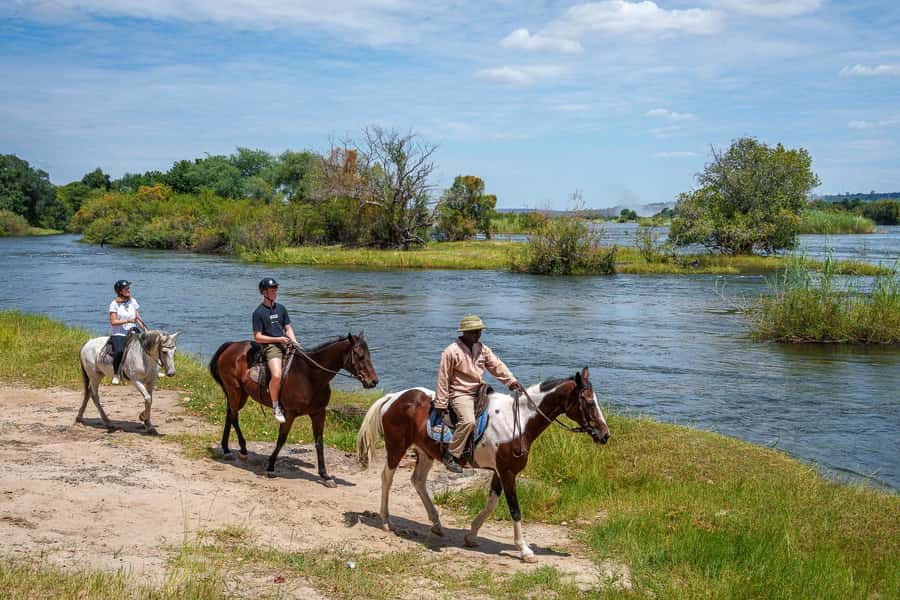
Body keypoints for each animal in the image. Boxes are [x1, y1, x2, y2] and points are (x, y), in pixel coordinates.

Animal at [209, 332, 378, 485]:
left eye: (368, 354)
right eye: (358, 354)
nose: (373, 381)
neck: (310, 376)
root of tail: (231, 346)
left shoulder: (318, 413)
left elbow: (319, 443)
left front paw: (325, 475)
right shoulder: (289, 414)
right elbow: (281, 439)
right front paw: (270, 466)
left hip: (240, 393)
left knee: (230, 415)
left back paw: (231, 449)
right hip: (235, 391)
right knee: (233, 415)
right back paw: (235, 450)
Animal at [357, 367, 610, 563]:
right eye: (588, 402)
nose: (605, 435)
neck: (518, 422)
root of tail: (393, 397)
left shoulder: (500, 472)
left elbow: (491, 504)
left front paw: (471, 535)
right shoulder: (508, 472)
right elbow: (514, 509)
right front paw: (524, 550)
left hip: (425, 452)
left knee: (418, 481)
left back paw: (436, 523)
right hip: (396, 447)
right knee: (387, 478)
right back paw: (386, 521)